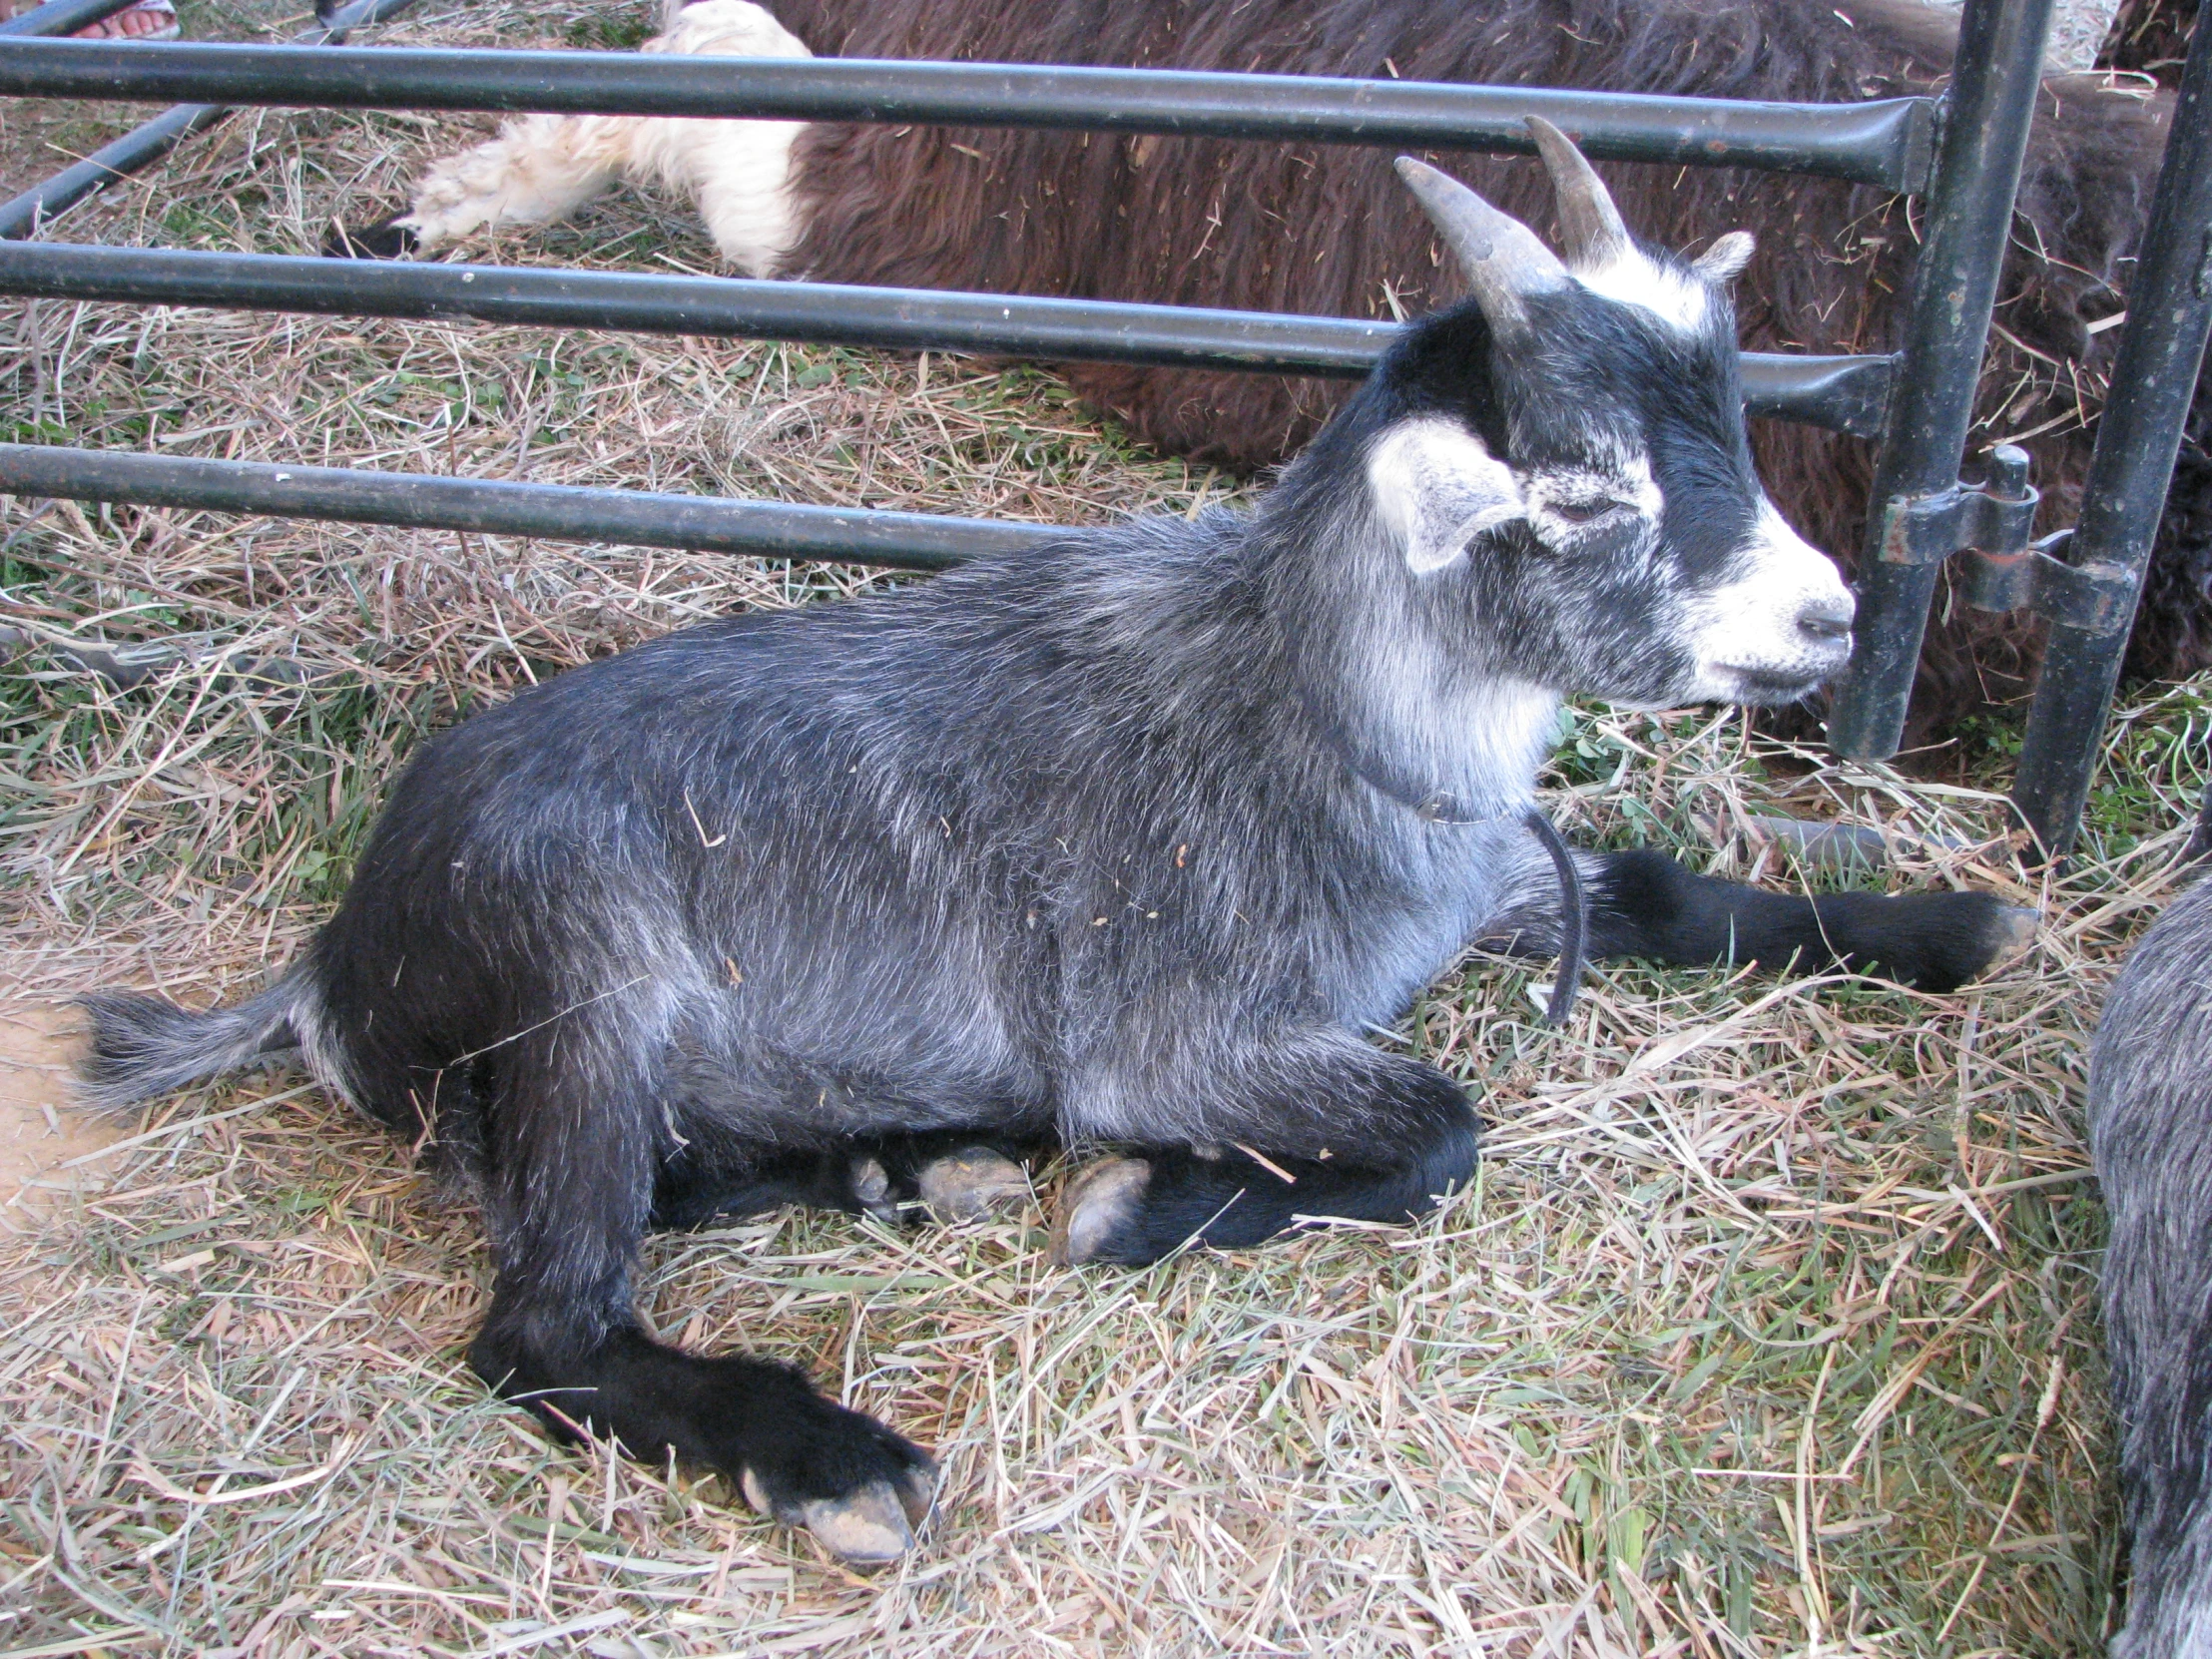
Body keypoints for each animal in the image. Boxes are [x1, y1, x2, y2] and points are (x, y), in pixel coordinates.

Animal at [78, 126, 2025, 1557]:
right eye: (1586, 491)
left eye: (1737, 425)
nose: (1831, 618)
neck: (1307, 714)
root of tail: (332, 963)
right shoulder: (1174, 1040)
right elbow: (1445, 1124)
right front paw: (1139, 1202)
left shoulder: (1492, 884)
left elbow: (1673, 892)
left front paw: (1942, 927)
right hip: (581, 975)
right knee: (544, 1324)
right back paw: (833, 1449)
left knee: (671, 1189)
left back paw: (908, 1165)